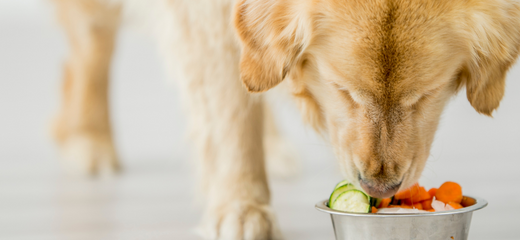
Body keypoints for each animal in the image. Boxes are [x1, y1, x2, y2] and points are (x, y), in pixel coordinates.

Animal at [49, 0, 520, 239]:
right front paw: (241, 205)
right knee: (89, 49)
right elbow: (229, 106)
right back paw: (89, 138)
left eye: (423, 95)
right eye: (342, 89)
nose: (379, 189)